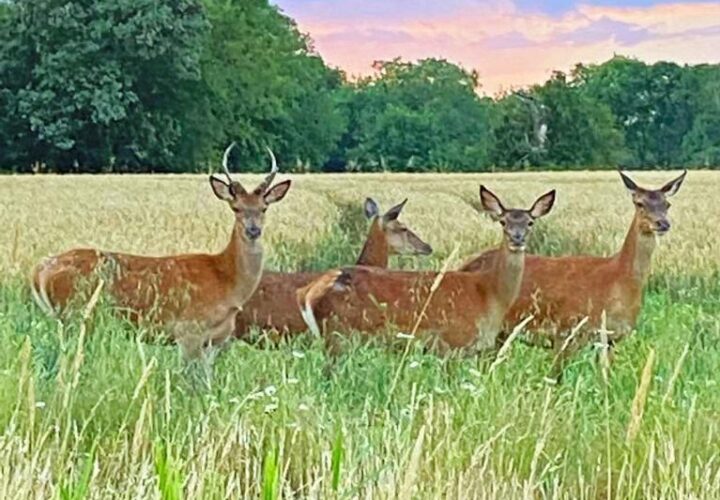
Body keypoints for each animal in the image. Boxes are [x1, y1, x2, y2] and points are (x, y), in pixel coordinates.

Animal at [29, 143, 290, 358]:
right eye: (236, 208)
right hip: (77, 314)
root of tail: (39, 271)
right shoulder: (189, 330)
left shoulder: (215, 340)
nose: (253, 230)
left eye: (264, 208)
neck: (226, 279)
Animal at [296, 187, 556, 356]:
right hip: (339, 336)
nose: (517, 238)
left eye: (530, 222)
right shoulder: (451, 342)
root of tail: (308, 294)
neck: (488, 294)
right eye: (503, 222)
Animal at [458, 170, 688, 380]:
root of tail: (465, 265)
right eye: (639, 203)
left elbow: (604, 381)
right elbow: (555, 378)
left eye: (667, 205)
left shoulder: (610, 339)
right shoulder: (565, 331)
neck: (617, 280)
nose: (662, 223)